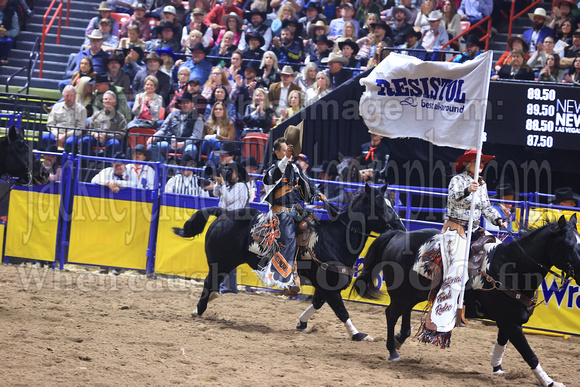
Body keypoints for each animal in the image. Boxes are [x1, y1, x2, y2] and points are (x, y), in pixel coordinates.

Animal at [174, 186, 406, 342]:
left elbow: (318, 303)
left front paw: (302, 323)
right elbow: (342, 311)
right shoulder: (330, 287)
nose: (400, 227)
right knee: (208, 282)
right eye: (379, 205)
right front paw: (358, 334)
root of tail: (223, 214)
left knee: (212, 284)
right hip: (220, 262)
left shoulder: (325, 287)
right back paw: (198, 310)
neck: (334, 238)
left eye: (391, 204)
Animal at [352, 217, 580, 386]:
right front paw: (549, 381)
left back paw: (400, 340)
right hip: (401, 294)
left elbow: (502, 342)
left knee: (404, 314)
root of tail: (398, 235)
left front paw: (496, 367)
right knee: (391, 314)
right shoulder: (510, 322)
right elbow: (529, 354)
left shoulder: (508, 321)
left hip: (412, 294)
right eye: (568, 245)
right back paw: (392, 350)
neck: (512, 267)